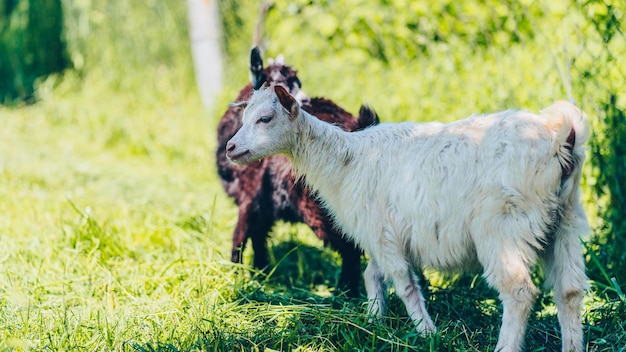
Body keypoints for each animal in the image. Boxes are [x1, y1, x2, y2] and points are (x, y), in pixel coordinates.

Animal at [217, 46, 378, 294]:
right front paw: (261, 273)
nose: (304, 101)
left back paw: (344, 292)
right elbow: (259, 237)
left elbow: (240, 238)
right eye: (275, 83)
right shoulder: (263, 208)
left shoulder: (249, 197)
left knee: (350, 246)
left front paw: (236, 278)